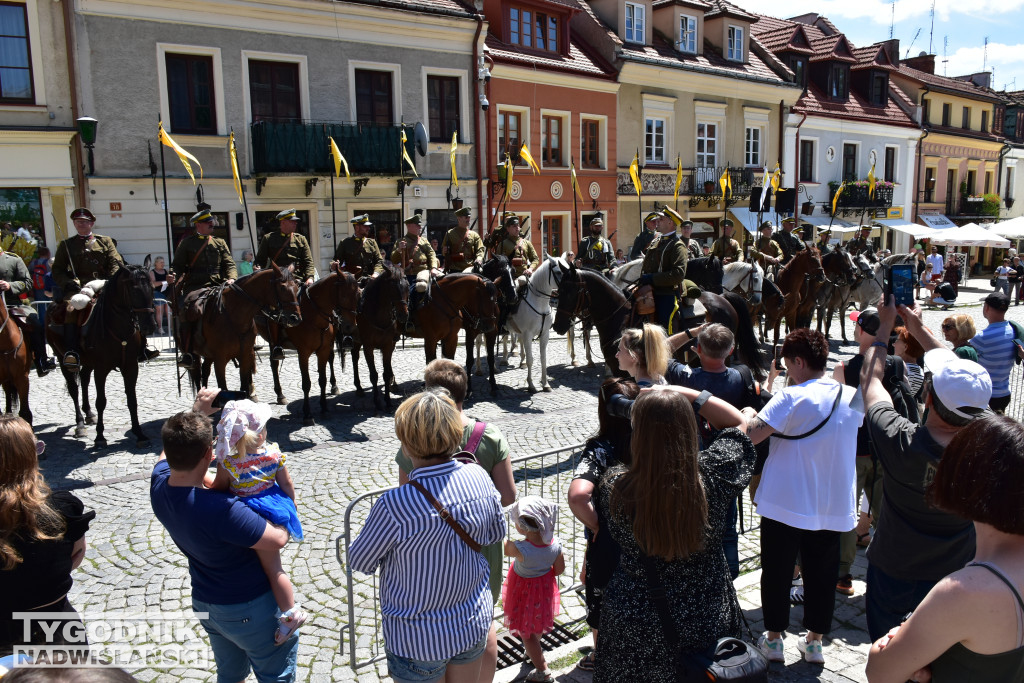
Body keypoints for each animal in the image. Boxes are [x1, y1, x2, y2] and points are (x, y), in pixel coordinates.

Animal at [45, 262, 154, 448]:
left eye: (152, 288)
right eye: (134, 290)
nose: (150, 326)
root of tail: (53, 305)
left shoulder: (130, 367)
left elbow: (132, 400)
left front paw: (139, 434)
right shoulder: (101, 369)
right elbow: (101, 401)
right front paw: (100, 437)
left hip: (88, 362)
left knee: (84, 379)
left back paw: (89, 414)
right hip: (62, 359)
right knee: (74, 389)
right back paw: (80, 424)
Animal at [188, 264, 299, 397]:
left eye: (297, 287)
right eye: (282, 288)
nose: (296, 318)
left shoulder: (244, 353)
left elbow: (243, 385)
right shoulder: (220, 358)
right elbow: (223, 387)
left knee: (205, 370)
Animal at [258, 270, 362, 421]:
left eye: (359, 294)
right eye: (343, 295)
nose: (350, 327)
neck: (314, 316)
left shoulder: (323, 350)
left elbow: (322, 379)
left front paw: (324, 408)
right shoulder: (303, 353)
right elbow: (306, 383)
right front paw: (307, 414)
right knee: (272, 364)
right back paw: (274, 394)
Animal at [350, 264, 409, 413]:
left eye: (407, 286)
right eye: (393, 287)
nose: (403, 315)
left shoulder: (387, 345)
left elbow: (386, 374)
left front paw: (387, 400)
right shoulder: (368, 347)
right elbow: (374, 375)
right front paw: (377, 402)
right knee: (354, 356)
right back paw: (357, 387)